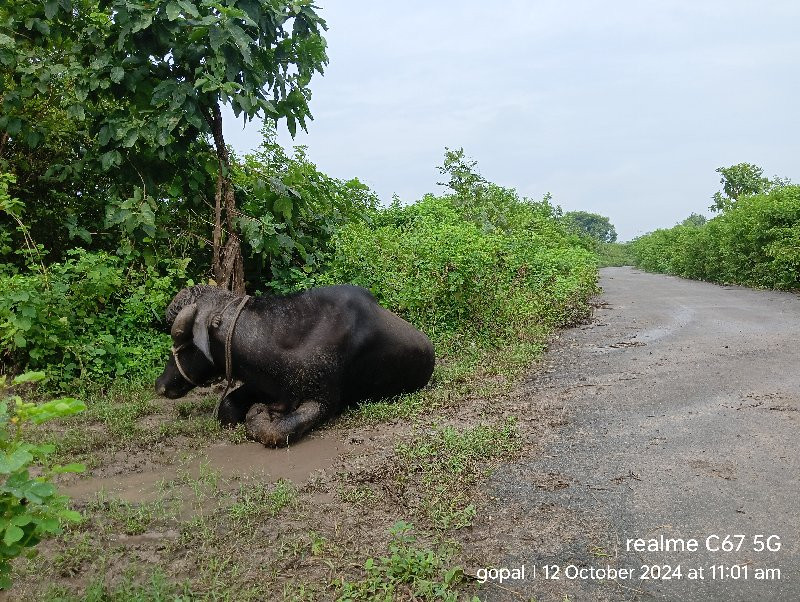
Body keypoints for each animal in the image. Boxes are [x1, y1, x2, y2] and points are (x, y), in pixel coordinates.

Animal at [154, 284, 434, 442]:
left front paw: (259, 414)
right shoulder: (262, 384)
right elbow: (228, 408)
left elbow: (279, 430)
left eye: (183, 339)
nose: (160, 385)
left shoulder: (324, 402)